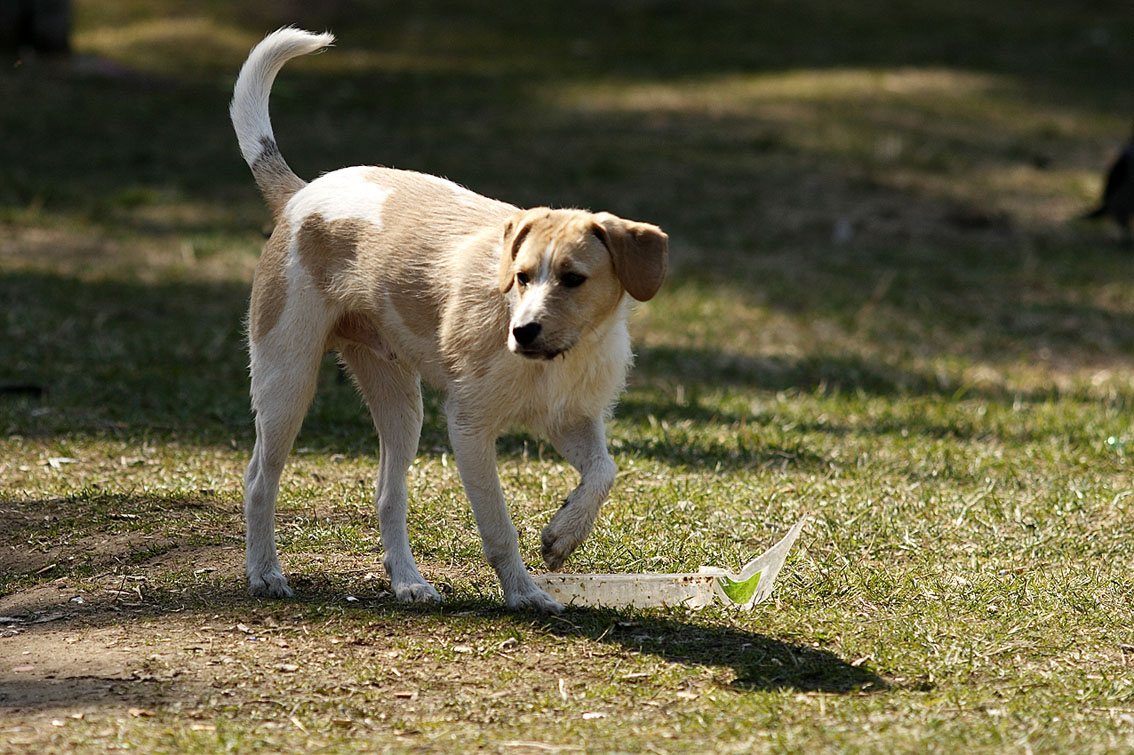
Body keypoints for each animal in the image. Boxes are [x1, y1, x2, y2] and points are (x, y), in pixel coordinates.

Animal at [231, 29, 666, 612]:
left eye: (573, 279)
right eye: (522, 277)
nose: (522, 333)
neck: (557, 358)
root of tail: (301, 193)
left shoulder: (572, 419)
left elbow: (604, 473)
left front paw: (563, 535)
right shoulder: (469, 427)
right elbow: (499, 525)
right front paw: (524, 593)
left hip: (400, 402)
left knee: (387, 494)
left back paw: (407, 581)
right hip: (287, 379)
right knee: (259, 478)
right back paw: (264, 572)